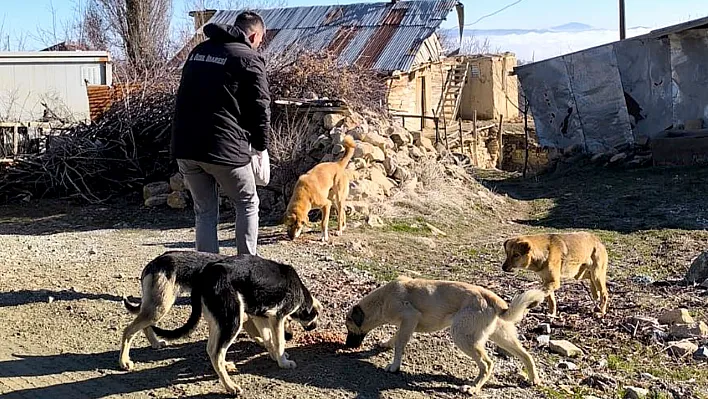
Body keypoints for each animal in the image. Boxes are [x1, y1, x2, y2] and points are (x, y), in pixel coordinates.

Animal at [118, 250, 294, 372]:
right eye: (289, 319)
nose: (290, 337)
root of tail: (153, 264)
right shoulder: (241, 317)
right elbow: (263, 335)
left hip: (156, 307)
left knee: (143, 325)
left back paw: (155, 343)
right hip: (161, 306)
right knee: (128, 330)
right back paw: (124, 361)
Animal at [152, 255, 324, 396]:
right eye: (315, 316)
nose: (314, 327)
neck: (300, 292)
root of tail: (204, 275)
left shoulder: (260, 316)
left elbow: (268, 340)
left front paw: (275, 356)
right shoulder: (277, 316)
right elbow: (278, 342)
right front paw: (283, 362)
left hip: (220, 321)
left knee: (211, 349)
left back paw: (226, 367)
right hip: (233, 320)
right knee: (216, 353)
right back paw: (230, 386)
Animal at [346, 276, 544, 396]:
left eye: (349, 328)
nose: (347, 346)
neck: (383, 300)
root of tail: (491, 298)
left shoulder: (410, 317)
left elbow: (400, 344)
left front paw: (394, 366)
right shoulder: (407, 324)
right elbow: (396, 337)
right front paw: (386, 344)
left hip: (462, 336)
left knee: (487, 364)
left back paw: (473, 388)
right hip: (501, 337)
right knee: (526, 355)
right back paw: (533, 379)